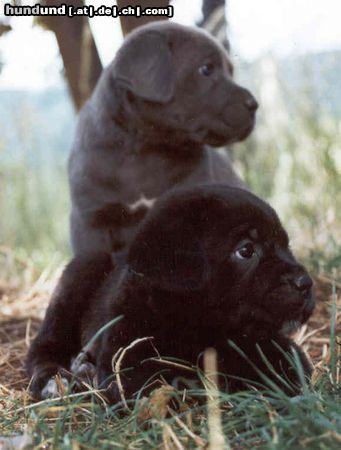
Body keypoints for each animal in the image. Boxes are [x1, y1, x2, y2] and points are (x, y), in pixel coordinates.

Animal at [27, 185, 312, 400]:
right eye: (246, 250)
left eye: (286, 246)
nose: (306, 283)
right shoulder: (126, 358)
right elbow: (149, 388)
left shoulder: (272, 343)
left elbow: (294, 366)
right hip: (80, 273)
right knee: (43, 349)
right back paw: (57, 379)